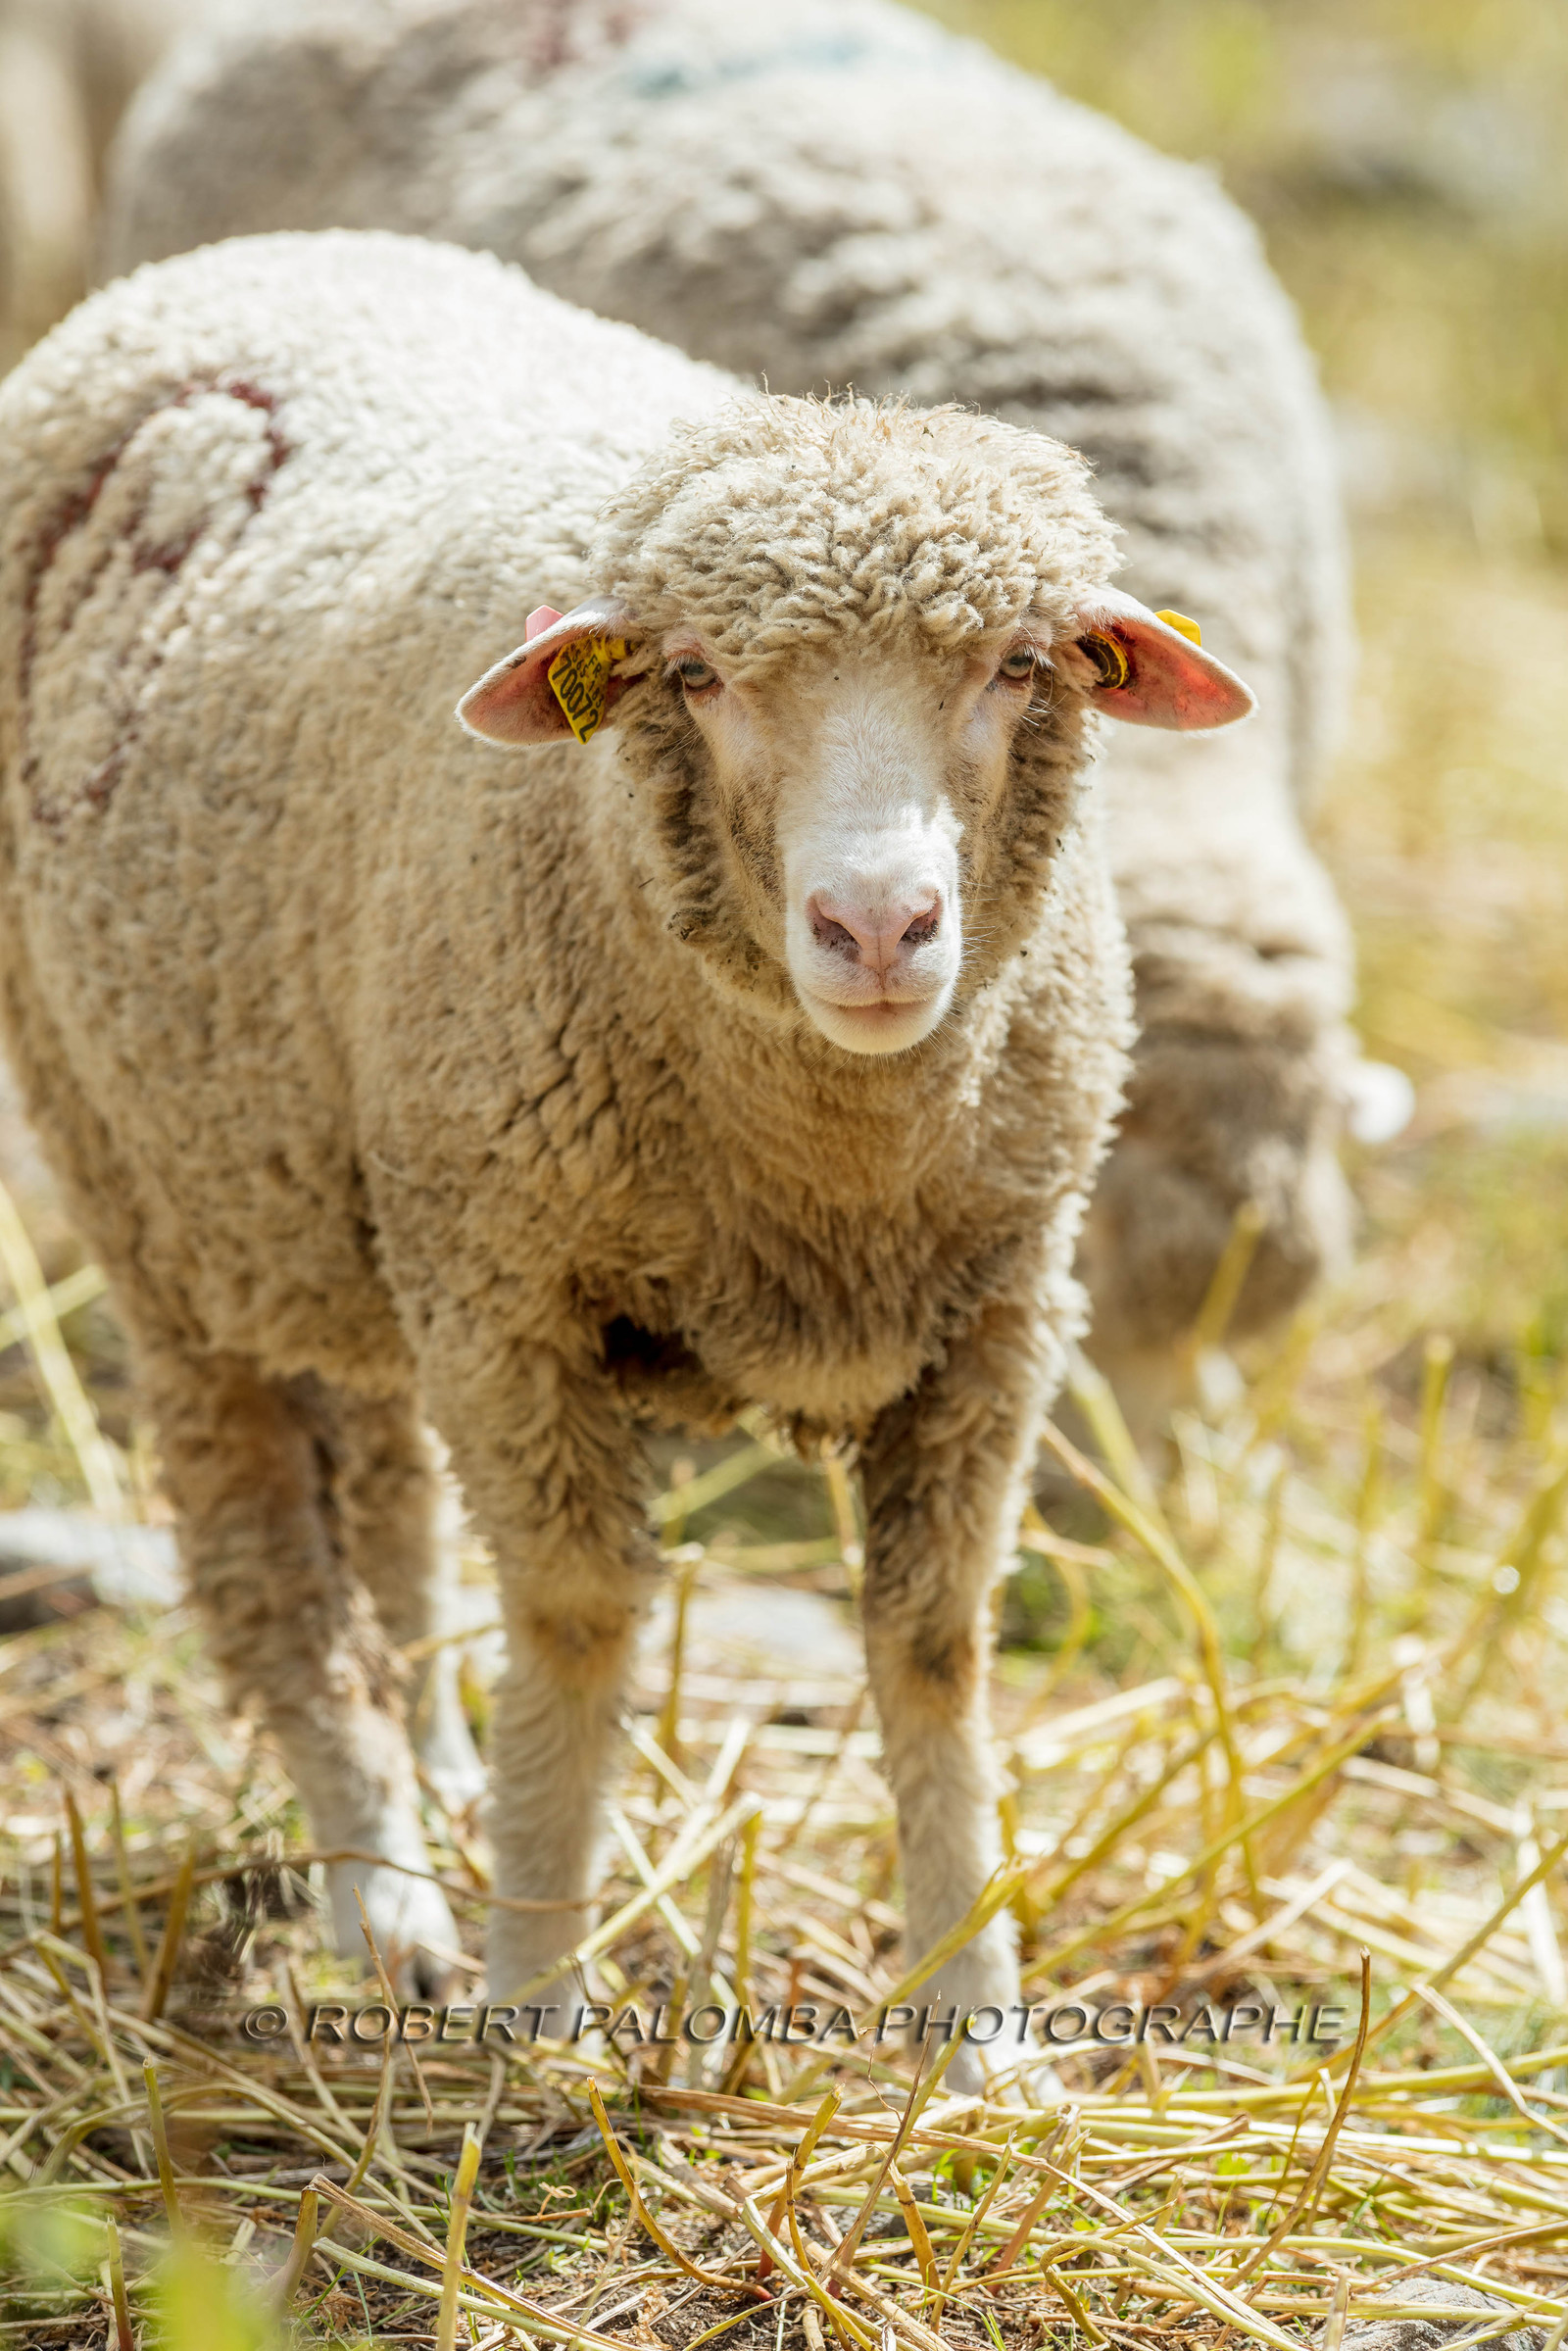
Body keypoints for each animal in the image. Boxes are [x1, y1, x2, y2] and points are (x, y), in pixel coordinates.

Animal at [0, 228, 1256, 2069]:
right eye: (701, 676)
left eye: (1020, 667)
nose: (878, 924)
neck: (824, 1163)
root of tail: (227, 261)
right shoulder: (518, 1295)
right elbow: (579, 1621)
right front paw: (537, 1986)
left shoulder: (1002, 1304)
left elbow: (936, 1642)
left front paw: (972, 2009)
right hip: (166, 1193)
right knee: (271, 1561)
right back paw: (384, 1891)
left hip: (360, 1182)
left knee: (391, 1492)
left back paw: (440, 1776)